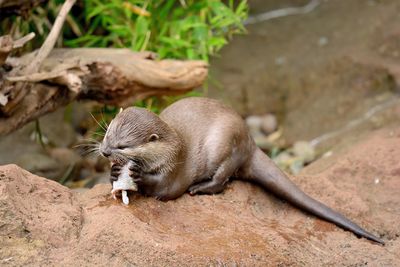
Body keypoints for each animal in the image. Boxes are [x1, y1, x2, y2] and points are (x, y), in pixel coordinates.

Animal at [100, 97, 384, 245]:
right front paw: (114, 175)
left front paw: (138, 175)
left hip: (226, 146)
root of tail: (250, 141)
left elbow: (166, 188)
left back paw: (200, 188)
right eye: (107, 133)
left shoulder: (174, 167)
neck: (172, 146)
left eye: (123, 145)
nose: (103, 151)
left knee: (223, 179)